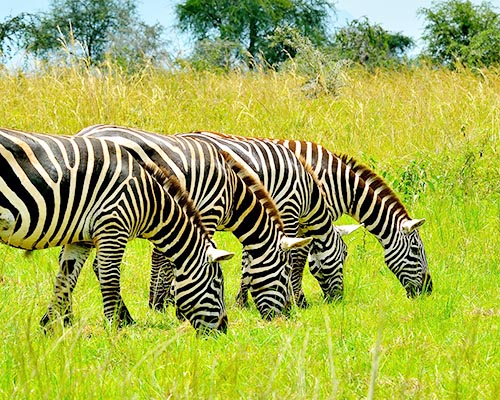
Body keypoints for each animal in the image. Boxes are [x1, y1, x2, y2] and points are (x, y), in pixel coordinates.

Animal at [0, 128, 233, 334]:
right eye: (217, 284)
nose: (223, 330)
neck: (147, 199)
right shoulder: (113, 227)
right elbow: (110, 282)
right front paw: (114, 331)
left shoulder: (81, 240)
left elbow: (65, 279)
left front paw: (51, 326)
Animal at [75, 124, 310, 318]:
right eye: (286, 271)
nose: (289, 314)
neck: (232, 192)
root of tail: (85, 132)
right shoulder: (208, 213)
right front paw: (176, 307)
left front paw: (164, 305)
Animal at [176, 131, 360, 306]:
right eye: (345, 253)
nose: (338, 300)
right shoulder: (289, 213)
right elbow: (295, 256)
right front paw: (297, 300)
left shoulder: (256, 222)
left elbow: (250, 257)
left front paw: (243, 300)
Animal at [266, 139, 434, 298]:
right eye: (416, 250)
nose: (428, 289)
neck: (342, 187)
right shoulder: (310, 219)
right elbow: (300, 258)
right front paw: (299, 298)